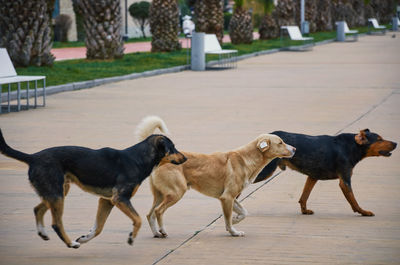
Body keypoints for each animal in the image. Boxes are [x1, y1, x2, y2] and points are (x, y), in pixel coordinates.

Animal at [0, 128, 187, 248]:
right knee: (56, 223)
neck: (138, 158)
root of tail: (32, 157)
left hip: (56, 192)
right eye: (172, 148)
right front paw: (131, 237)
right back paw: (71, 243)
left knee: (37, 209)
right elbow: (138, 219)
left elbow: (98, 227)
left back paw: (44, 233)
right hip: (57, 195)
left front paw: (84, 238)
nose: (185, 158)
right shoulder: (120, 198)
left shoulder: (107, 201)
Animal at [136, 116, 296, 236]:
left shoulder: (230, 197)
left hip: (160, 194)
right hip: (176, 192)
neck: (246, 158)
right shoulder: (227, 197)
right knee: (158, 211)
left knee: (150, 214)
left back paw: (156, 233)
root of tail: (161, 159)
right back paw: (162, 231)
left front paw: (236, 220)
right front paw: (233, 231)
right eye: (280, 142)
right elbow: (228, 219)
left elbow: (244, 212)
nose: (294, 149)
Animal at [255, 128, 396, 217]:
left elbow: (304, 197)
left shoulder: (312, 177)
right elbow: (354, 201)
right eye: (379, 139)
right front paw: (363, 212)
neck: (351, 146)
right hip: (264, 172)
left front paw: (304, 211)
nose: (396, 143)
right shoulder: (345, 181)